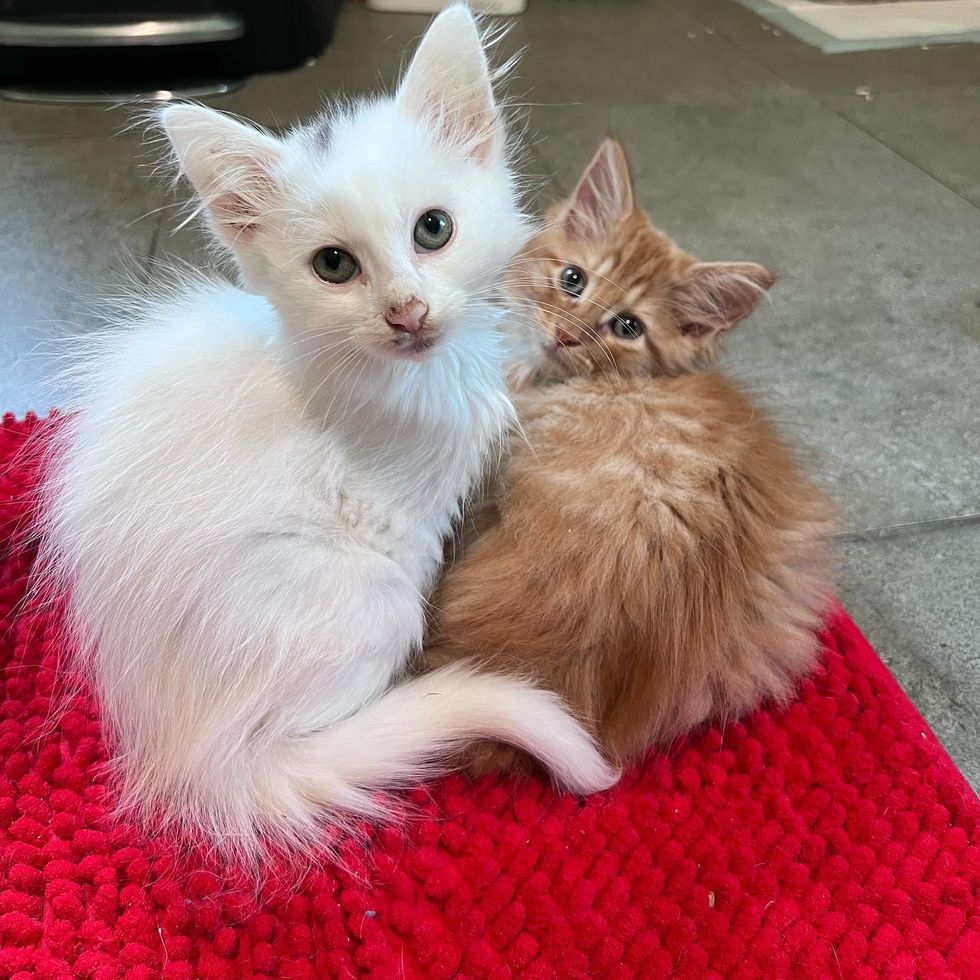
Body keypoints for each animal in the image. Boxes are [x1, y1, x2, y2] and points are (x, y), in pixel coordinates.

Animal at [44, 7, 620, 864]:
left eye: (434, 229)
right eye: (335, 266)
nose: (407, 311)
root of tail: (187, 748)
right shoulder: (406, 508)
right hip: (371, 603)